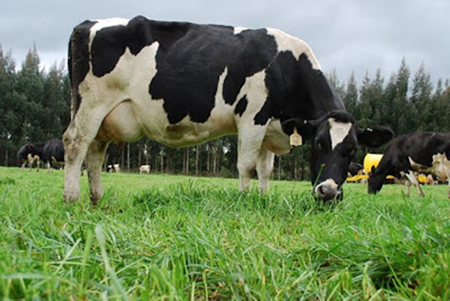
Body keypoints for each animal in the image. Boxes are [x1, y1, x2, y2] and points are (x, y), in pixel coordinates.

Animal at [61, 16, 392, 204]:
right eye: (319, 144)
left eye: (352, 150)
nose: (329, 192)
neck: (287, 65)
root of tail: (88, 23)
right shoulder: (252, 117)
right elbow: (246, 166)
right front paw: (244, 201)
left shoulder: (270, 127)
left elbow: (266, 170)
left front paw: (263, 199)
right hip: (92, 103)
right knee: (75, 144)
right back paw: (72, 198)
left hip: (106, 117)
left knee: (95, 151)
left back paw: (97, 198)